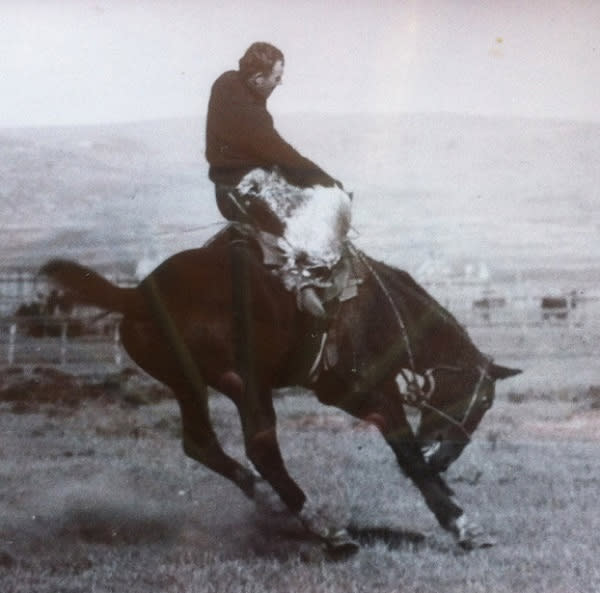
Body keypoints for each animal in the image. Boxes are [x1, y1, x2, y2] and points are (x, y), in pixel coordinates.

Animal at [42, 223, 520, 556]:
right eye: (482, 401)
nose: (446, 458)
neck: (380, 312)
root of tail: (139, 295)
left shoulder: (345, 396)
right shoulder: (377, 394)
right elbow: (408, 455)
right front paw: (464, 526)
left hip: (187, 383)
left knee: (201, 443)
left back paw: (269, 500)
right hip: (245, 382)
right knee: (261, 448)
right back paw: (324, 529)